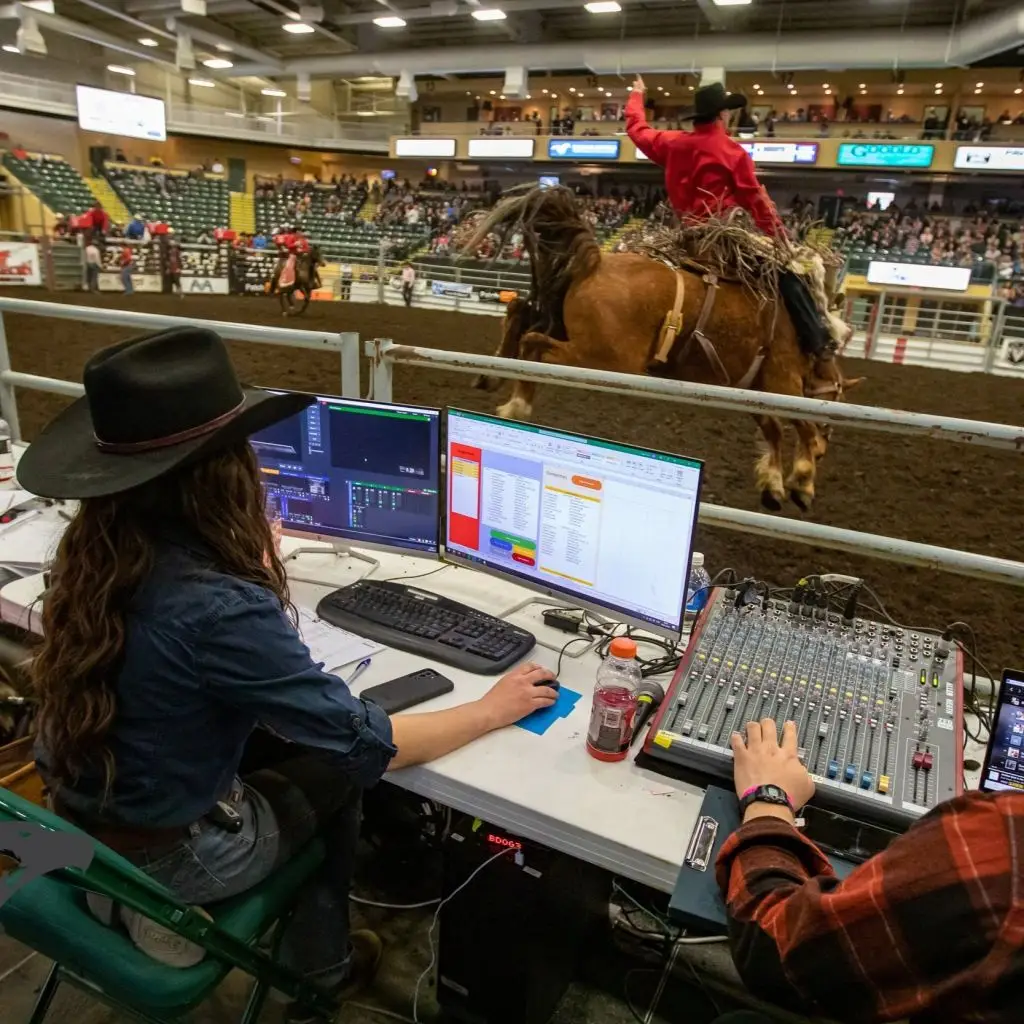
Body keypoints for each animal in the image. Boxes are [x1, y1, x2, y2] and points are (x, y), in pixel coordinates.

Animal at [468, 186, 860, 512]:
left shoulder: (753, 391)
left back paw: (490, 375)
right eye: (837, 399)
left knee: (519, 313)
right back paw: (516, 404)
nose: (826, 452)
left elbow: (774, 430)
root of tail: (595, 261)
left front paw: (774, 486)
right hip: (604, 360)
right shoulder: (783, 381)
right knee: (534, 344)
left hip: (560, 321)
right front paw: (803, 481)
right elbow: (804, 425)